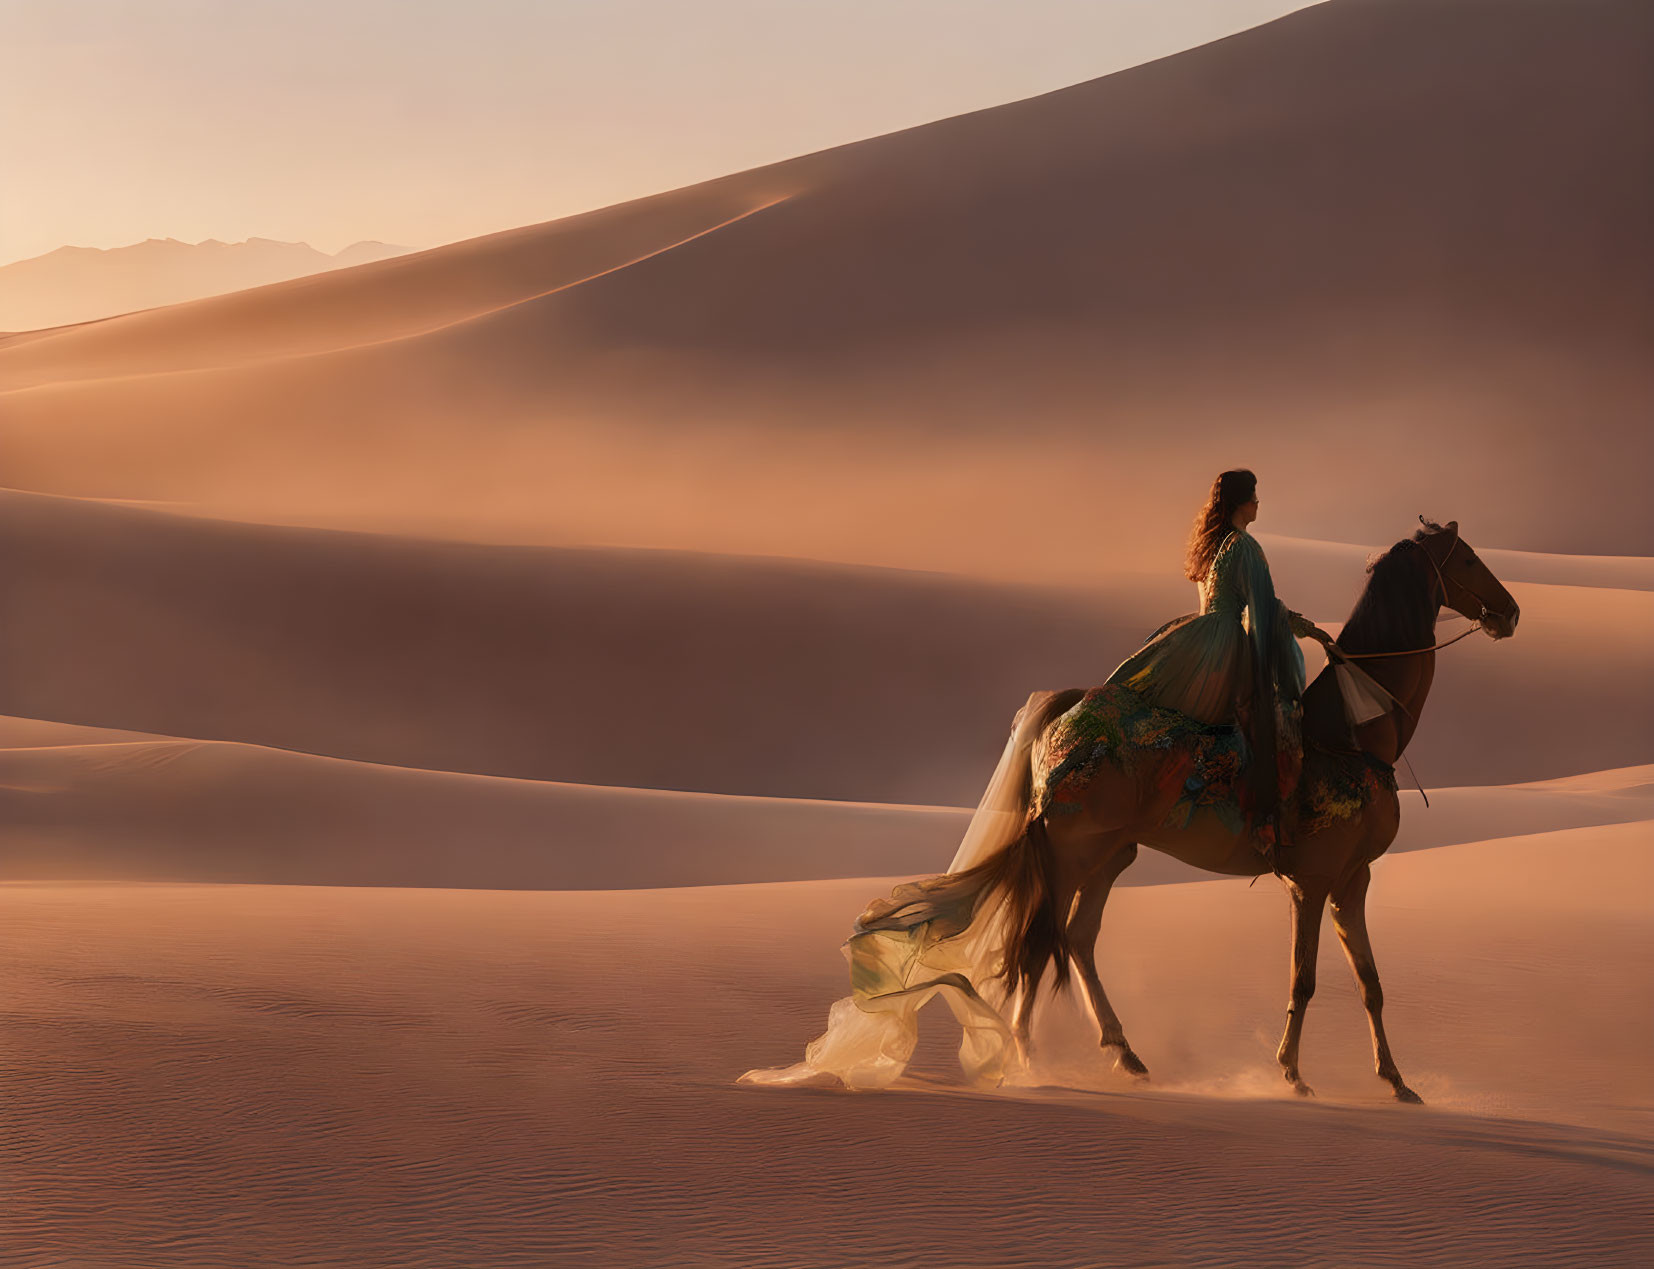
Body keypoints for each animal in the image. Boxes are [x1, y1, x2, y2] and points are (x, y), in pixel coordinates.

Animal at [972, 516, 1515, 1098]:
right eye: (1467, 559)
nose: (1510, 612)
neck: (1352, 734)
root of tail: (1066, 710)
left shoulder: (1353, 879)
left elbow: (1370, 983)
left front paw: (1396, 1081)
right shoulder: (1311, 881)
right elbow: (1304, 979)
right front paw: (1292, 1073)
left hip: (1111, 853)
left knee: (1076, 937)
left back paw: (1124, 1053)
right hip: (1071, 850)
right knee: (1041, 938)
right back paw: (1027, 1058)